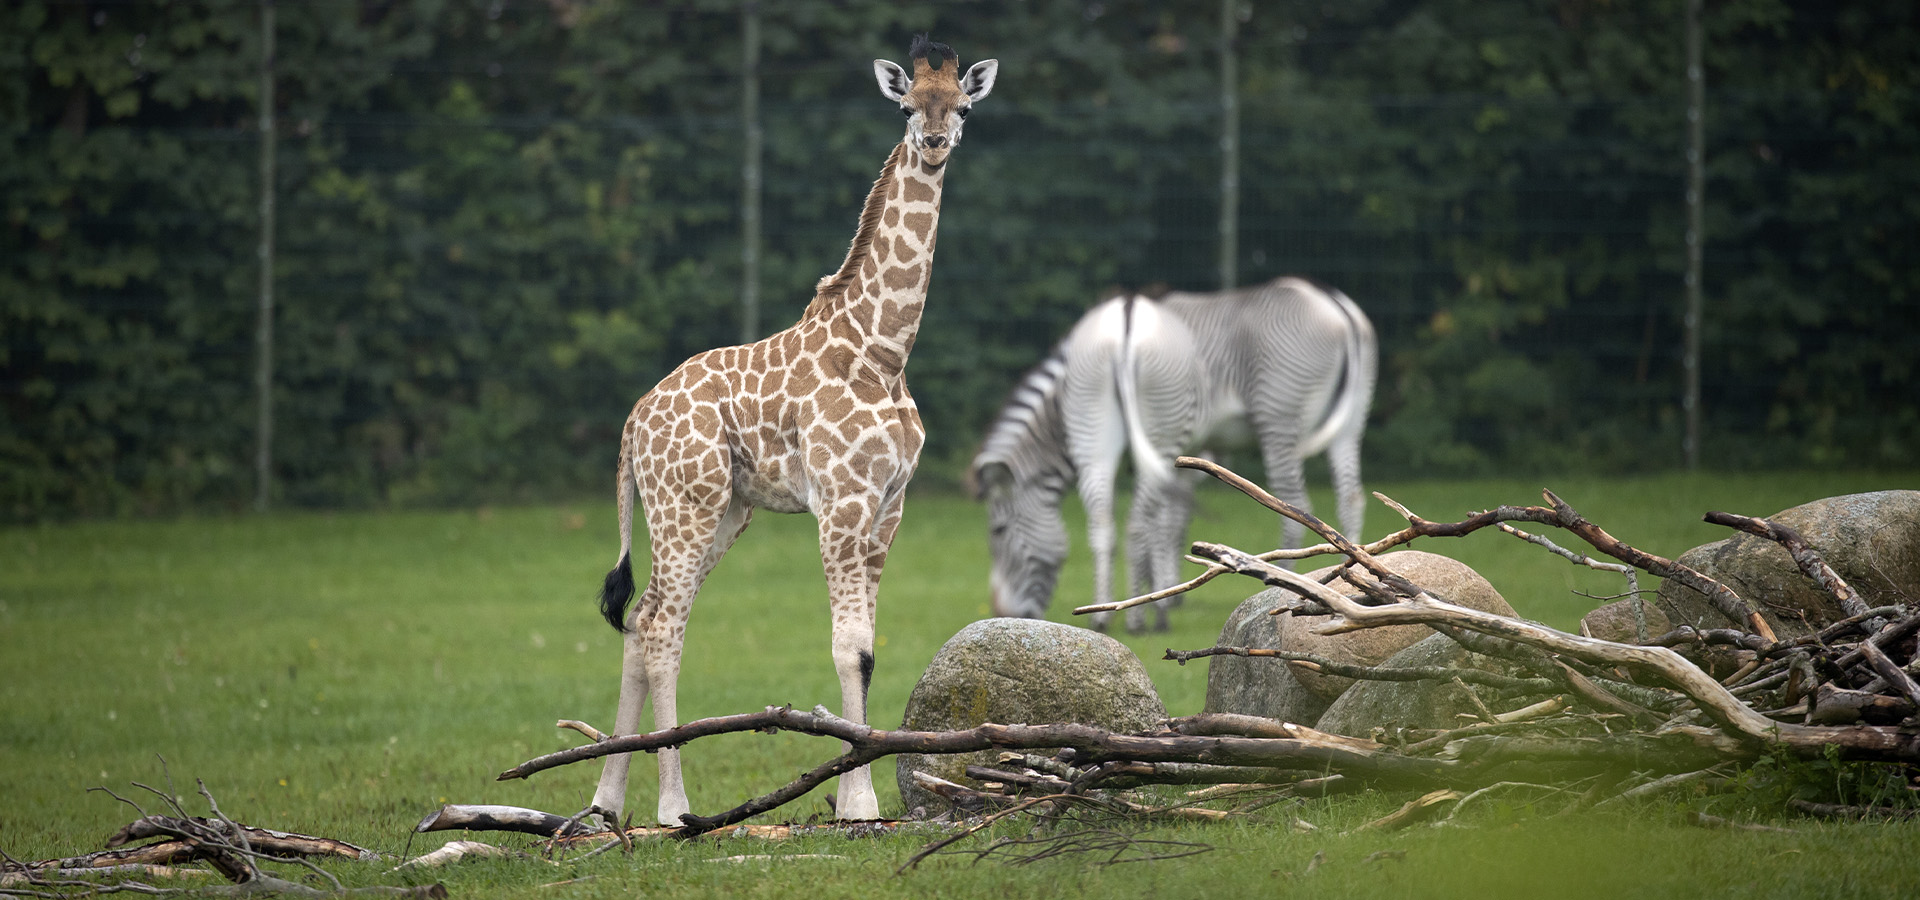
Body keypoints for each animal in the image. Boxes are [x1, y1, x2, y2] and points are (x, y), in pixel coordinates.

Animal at [591, 35, 998, 825]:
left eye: (961, 106)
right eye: (908, 105)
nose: (935, 142)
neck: (882, 351)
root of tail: (632, 422)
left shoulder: (889, 505)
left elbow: (867, 646)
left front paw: (857, 796)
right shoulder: (840, 502)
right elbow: (849, 648)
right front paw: (860, 803)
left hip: (724, 511)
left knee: (644, 614)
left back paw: (603, 803)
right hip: (685, 504)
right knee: (662, 626)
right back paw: (672, 808)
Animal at [967, 274, 1374, 633]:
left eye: (997, 530)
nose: (1001, 611)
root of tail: (1334, 305)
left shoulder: (1182, 447)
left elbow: (1164, 522)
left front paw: (1158, 596)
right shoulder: (1186, 448)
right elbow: (1170, 520)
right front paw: (1165, 594)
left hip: (1271, 418)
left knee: (1292, 504)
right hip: (1328, 421)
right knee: (1345, 498)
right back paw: (1346, 575)